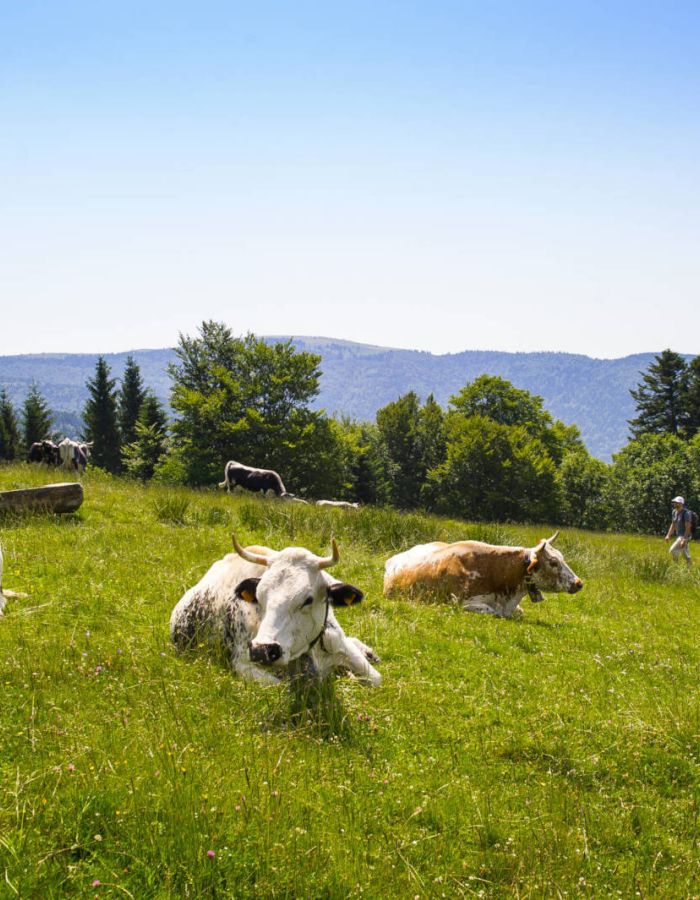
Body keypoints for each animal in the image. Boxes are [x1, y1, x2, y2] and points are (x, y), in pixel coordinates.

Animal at [170, 536, 380, 688]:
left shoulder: (338, 642)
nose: (262, 650)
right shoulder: (242, 663)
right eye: (259, 596)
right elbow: (279, 685)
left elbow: (376, 679)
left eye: (308, 599)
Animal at [382, 532, 580, 616]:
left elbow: (520, 612)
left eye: (562, 557)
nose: (579, 583)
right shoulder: (459, 602)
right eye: (553, 562)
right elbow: (490, 611)